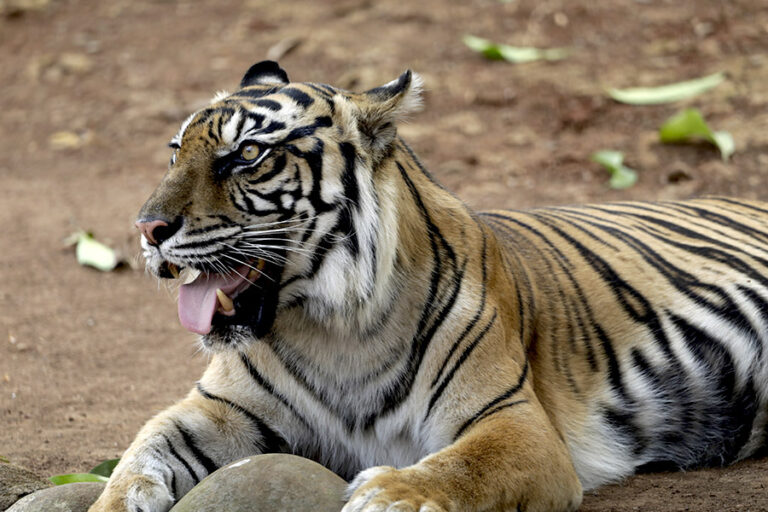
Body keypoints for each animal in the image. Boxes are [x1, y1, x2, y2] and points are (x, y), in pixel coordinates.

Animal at [89, 60, 768, 512]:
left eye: (247, 155)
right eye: (175, 152)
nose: (147, 229)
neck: (330, 328)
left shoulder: (514, 421)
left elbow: (468, 466)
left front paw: (389, 489)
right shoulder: (220, 408)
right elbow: (143, 447)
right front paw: (114, 500)